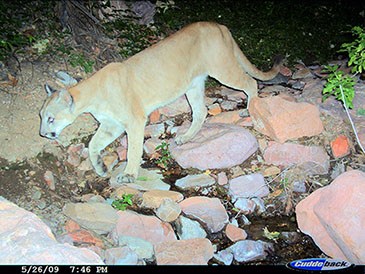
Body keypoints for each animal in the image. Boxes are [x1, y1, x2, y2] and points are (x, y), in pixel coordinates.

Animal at [39, 22, 282, 184]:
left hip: (222, 69)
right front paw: (100, 167)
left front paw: (129, 174)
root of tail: (219, 25)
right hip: (193, 85)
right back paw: (185, 138)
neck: (92, 96)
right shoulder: (111, 125)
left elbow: (134, 148)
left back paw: (251, 110)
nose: (42, 134)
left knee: (250, 82)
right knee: (200, 111)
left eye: (50, 118)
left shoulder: (134, 120)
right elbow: (93, 144)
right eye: (41, 116)